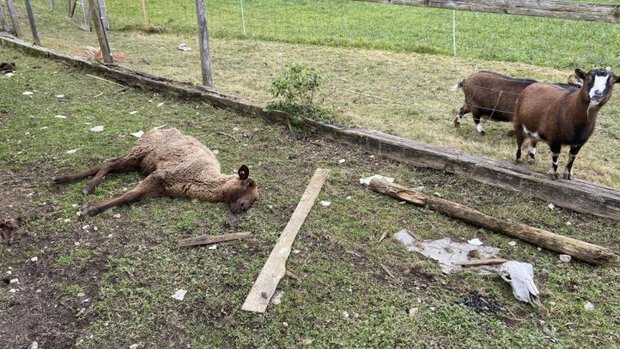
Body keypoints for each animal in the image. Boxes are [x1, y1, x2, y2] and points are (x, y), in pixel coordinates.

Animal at [52, 128, 258, 215]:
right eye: (248, 183)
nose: (243, 208)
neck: (201, 179)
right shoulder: (161, 175)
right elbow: (129, 195)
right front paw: (90, 209)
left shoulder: (161, 188)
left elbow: (133, 196)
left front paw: (91, 207)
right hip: (140, 151)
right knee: (110, 163)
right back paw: (88, 187)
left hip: (140, 161)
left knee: (108, 164)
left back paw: (65, 179)